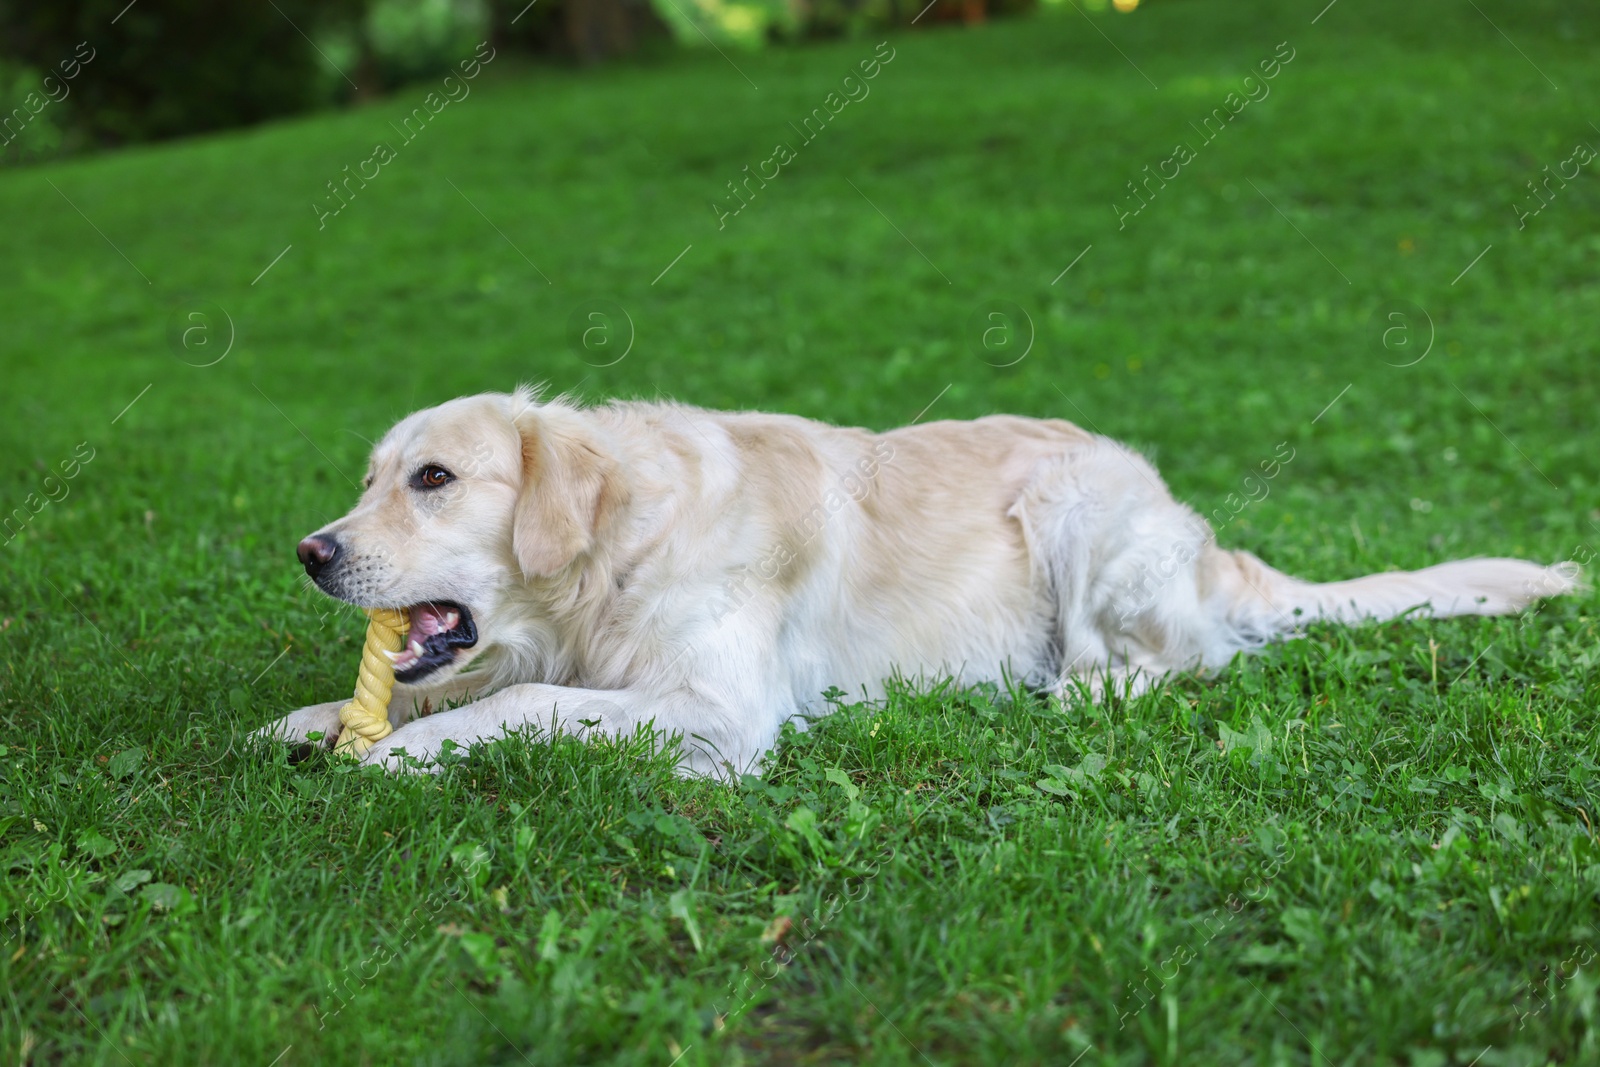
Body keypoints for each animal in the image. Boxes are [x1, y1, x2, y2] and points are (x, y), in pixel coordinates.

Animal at [256, 390, 1580, 777]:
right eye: (369, 478)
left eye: (433, 477)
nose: (311, 549)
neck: (612, 551)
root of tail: (1214, 556)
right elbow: (436, 684)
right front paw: (319, 718)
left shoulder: (721, 709)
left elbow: (518, 702)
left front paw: (404, 753)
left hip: (1078, 506)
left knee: (1155, 665)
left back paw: (1064, 691)